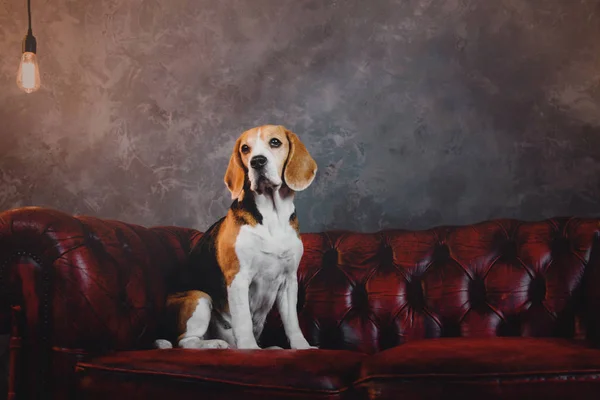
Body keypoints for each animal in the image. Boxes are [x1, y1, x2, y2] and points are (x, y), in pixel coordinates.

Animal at [155, 125, 318, 350]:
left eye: (275, 142)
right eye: (245, 148)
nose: (257, 161)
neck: (272, 217)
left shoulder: (289, 281)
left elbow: (292, 323)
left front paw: (301, 347)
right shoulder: (238, 278)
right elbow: (244, 320)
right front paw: (250, 348)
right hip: (199, 298)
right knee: (185, 341)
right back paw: (215, 344)